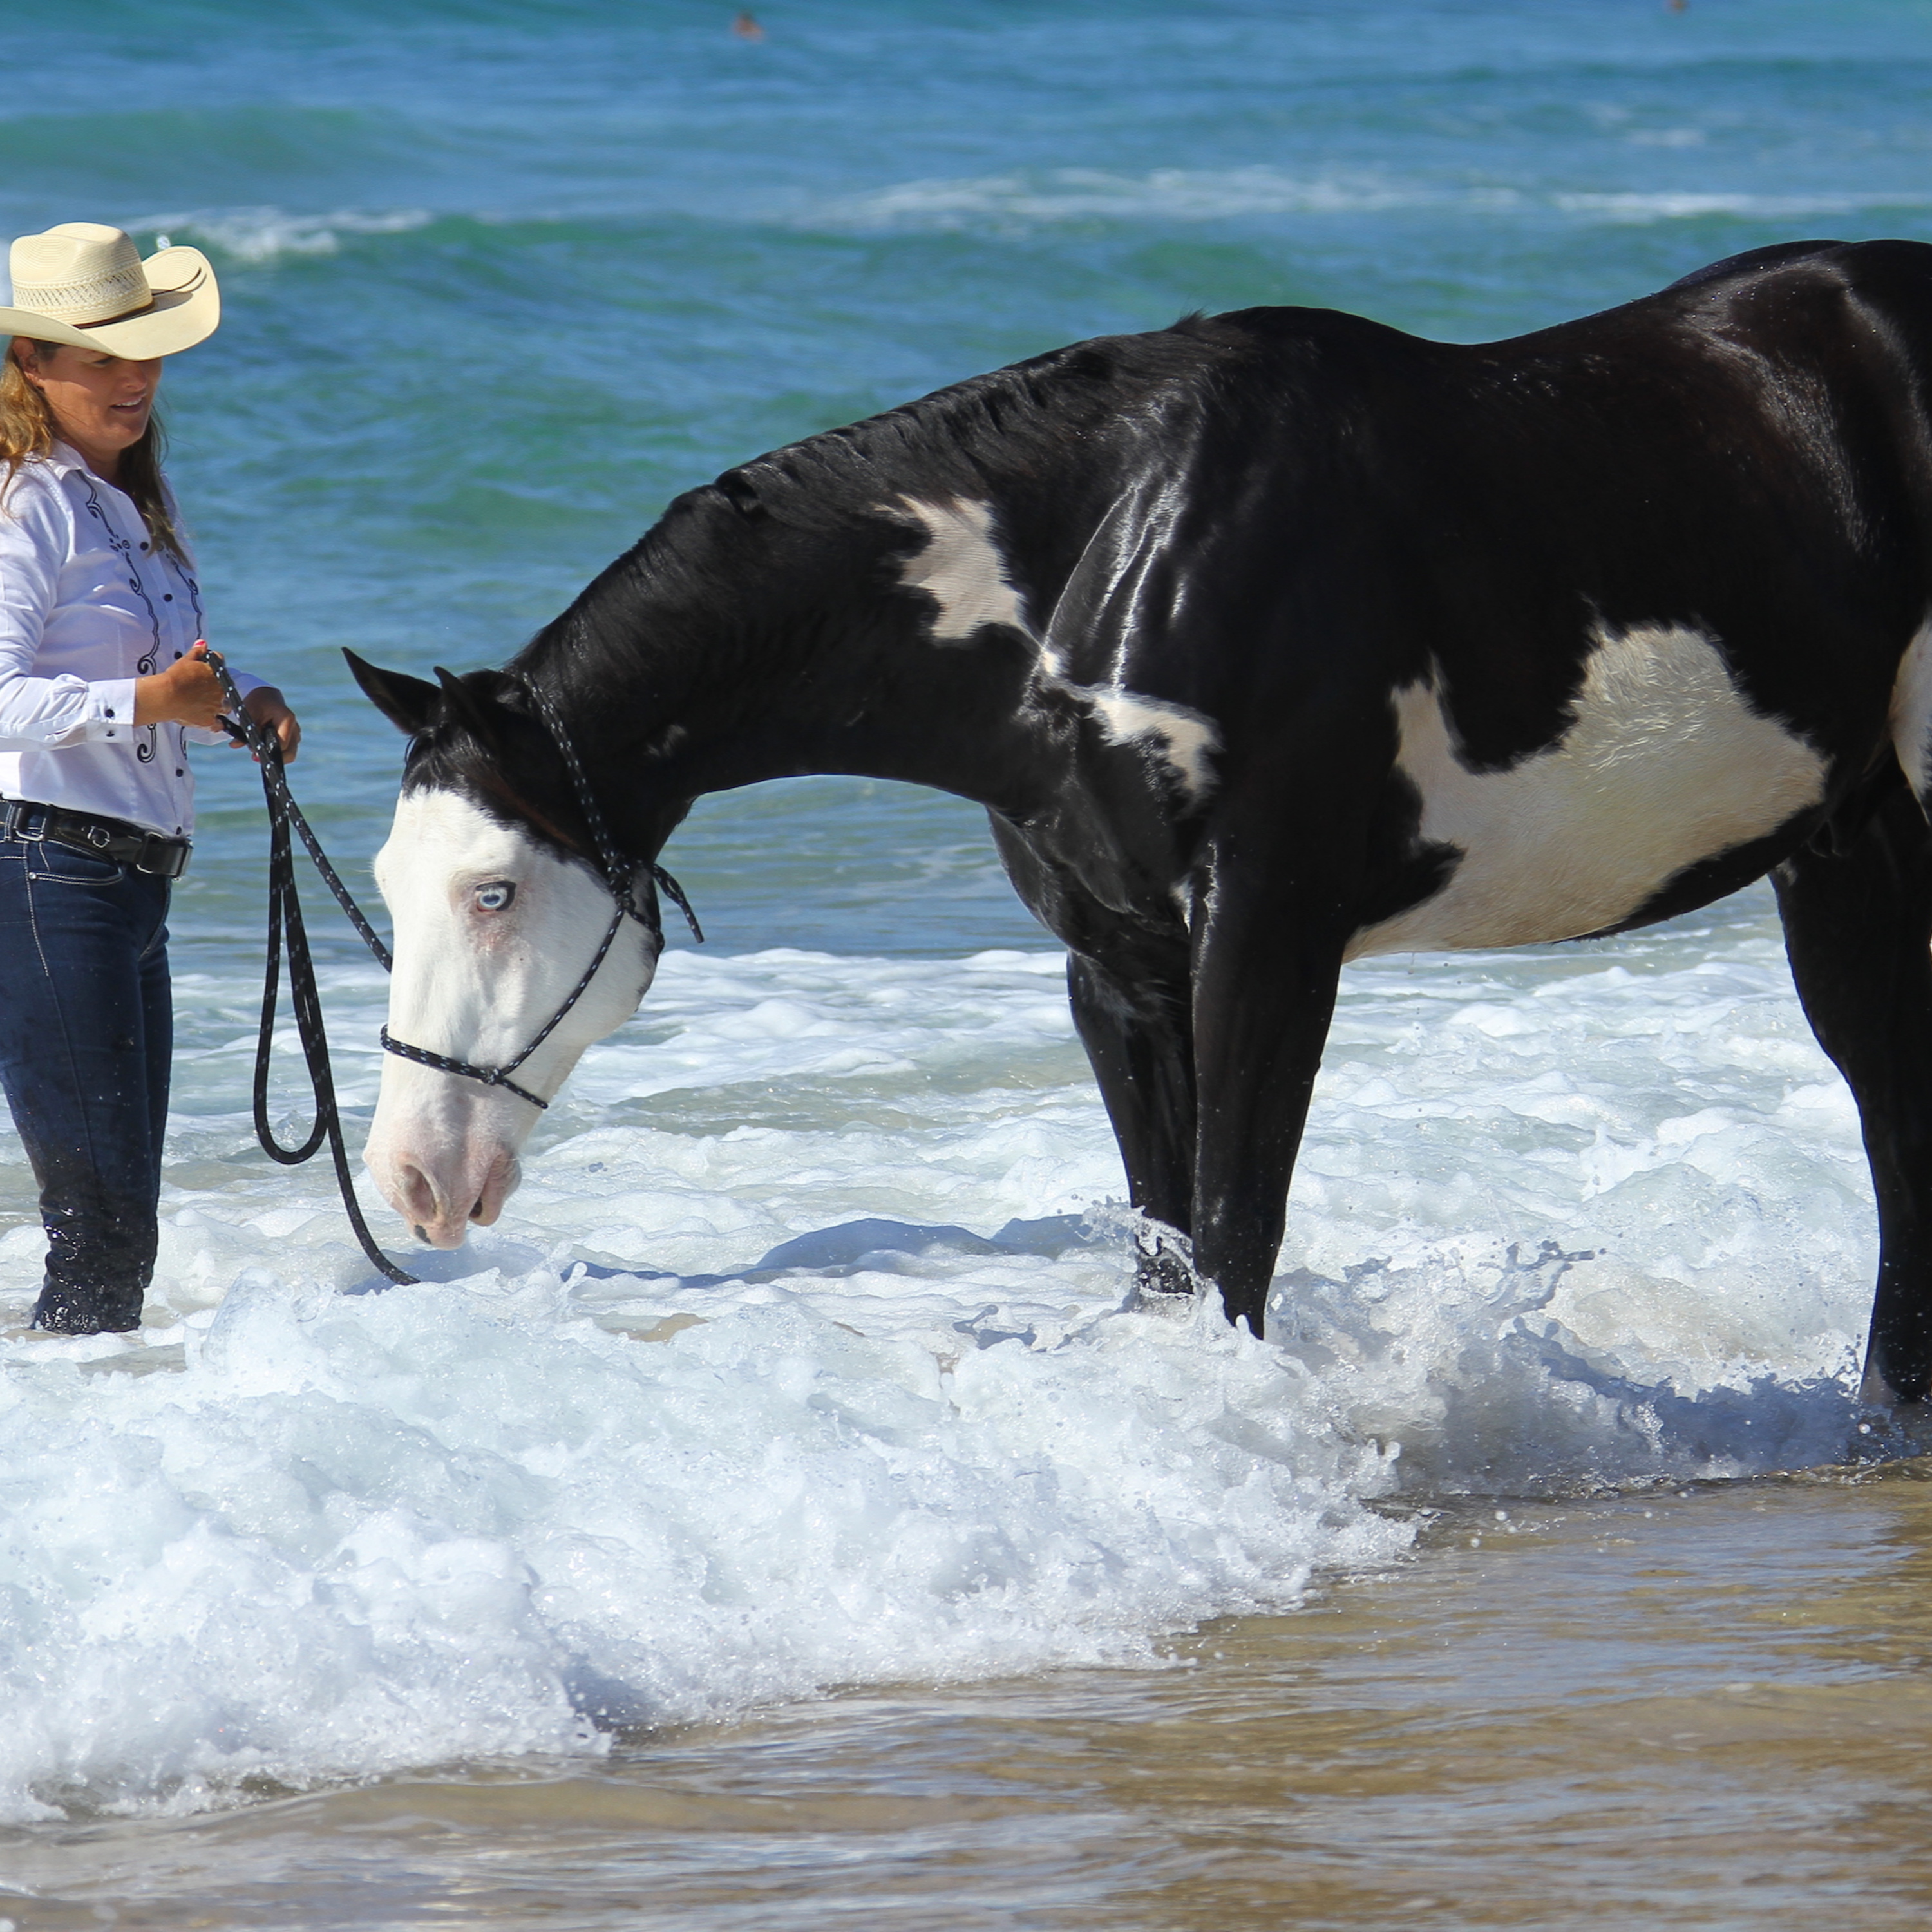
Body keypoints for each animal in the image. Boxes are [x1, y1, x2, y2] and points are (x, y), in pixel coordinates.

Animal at [348, 238, 1932, 1406]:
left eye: (493, 889)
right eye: (389, 880)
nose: (415, 1178)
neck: (1104, 553)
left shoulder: (1268, 938)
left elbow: (1238, 1228)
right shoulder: (1117, 967)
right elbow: (1169, 1247)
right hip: (1844, 847)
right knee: (1886, 1104)